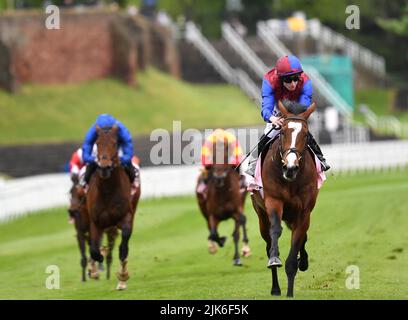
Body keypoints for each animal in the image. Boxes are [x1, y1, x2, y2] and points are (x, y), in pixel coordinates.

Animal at [86, 125, 140, 290]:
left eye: (115, 143)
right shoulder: (95, 222)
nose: (104, 167)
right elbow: (94, 249)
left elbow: (123, 248)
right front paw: (97, 261)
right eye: (97, 143)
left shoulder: (126, 217)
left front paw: (122, 277)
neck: (107, 191)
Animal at [250, 100, 320, 298]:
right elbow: (275, 230)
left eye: (305, 134)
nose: (290, 168)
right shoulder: (273, 201)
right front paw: (275, 259)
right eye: (282, 132)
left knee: (303, 236)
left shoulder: (304, 211)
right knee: (268, 241)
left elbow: (298, 242)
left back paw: (303, 261)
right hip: (261, 216)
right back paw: (275, 288)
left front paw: (291, 288)